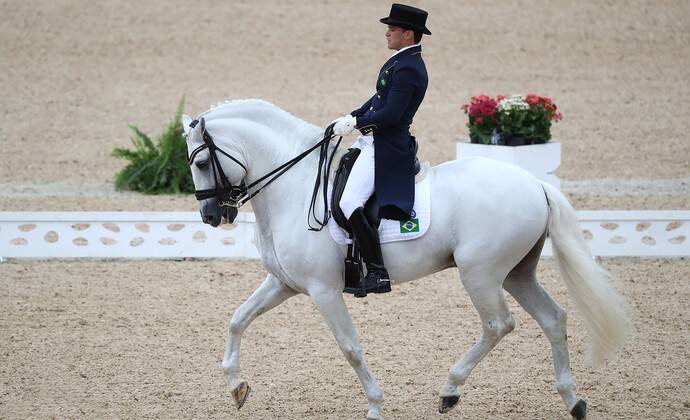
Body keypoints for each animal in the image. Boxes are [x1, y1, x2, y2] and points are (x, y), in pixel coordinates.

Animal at [181, 99, 628, 420]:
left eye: (202, 162)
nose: (211, 216)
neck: (294, 186)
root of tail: (535, 183)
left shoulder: (324, 290)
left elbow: (350, 347)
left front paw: (375, 406)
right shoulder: (285, 284)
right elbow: (238, 318)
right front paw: (237, 387)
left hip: (481, 274)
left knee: (498, 324)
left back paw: (451, 390)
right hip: (516, 273)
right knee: (553, 318)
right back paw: (572, 400)